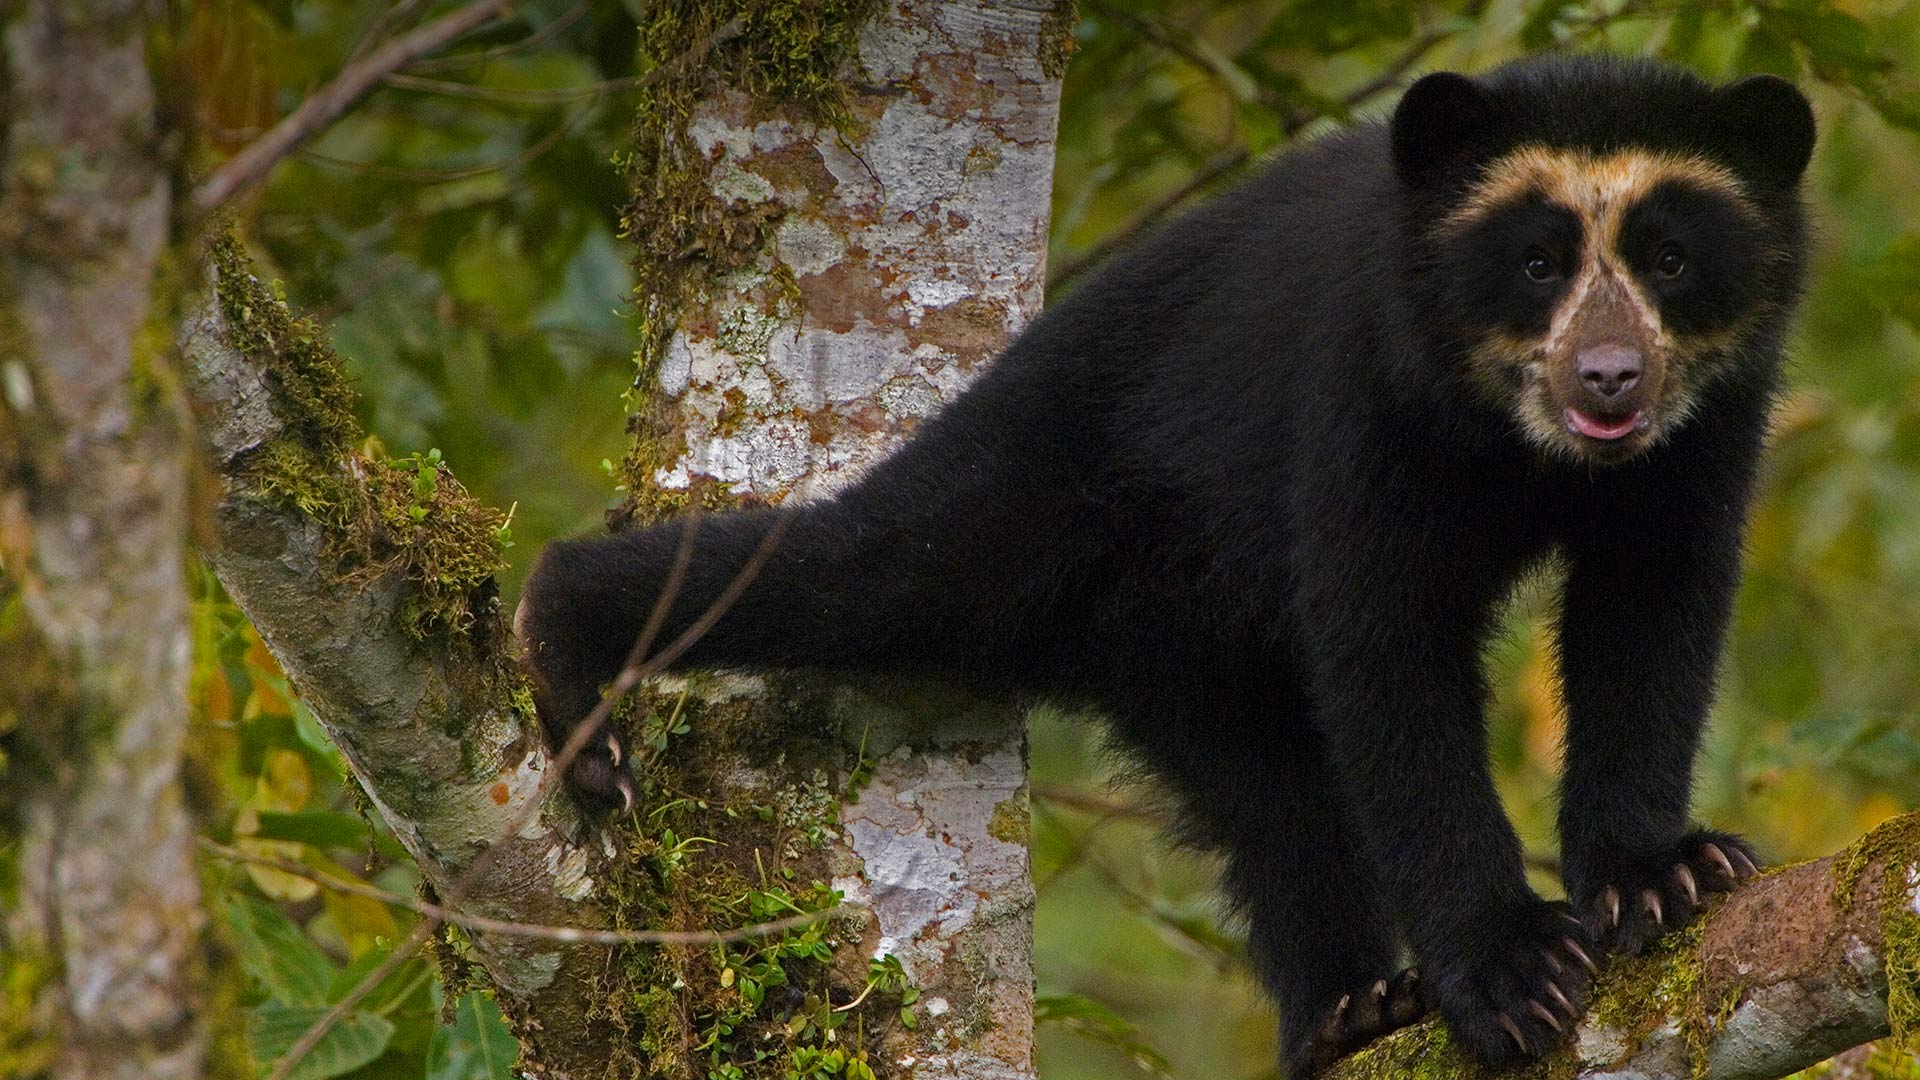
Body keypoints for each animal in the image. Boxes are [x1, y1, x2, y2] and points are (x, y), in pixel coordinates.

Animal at [514, 56, 1812, 1068]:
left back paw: (1346, 1012)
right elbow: (1387, 653)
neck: (1520, 441)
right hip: (1043, 488)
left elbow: (1653, 609)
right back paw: (569, 651)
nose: (1612, 379)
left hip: (1184, 652)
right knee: (860, 569)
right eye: (1538, 263)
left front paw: (1667, 873)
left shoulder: (1704, 434)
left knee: (1277, 804)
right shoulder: (1357, 394)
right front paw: (1511, 973)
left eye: (1671, 259)